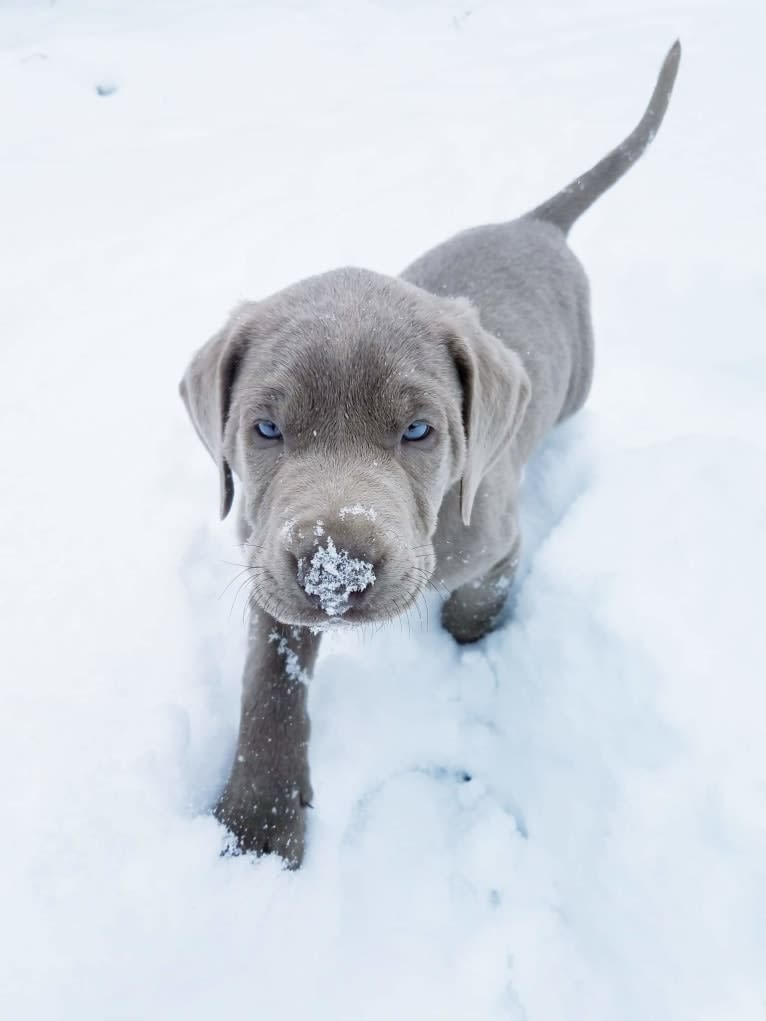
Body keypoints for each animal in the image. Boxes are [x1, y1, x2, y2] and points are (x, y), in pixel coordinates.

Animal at [181, 43, 682, 865]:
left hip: (579, 381)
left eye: (419, 431)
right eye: (265, 429)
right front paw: (259, 818)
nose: (336, 571)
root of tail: (536, 224)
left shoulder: (495, 535)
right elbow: (271, 683)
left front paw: (467, 638)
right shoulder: (266, 561)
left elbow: (485, 590)